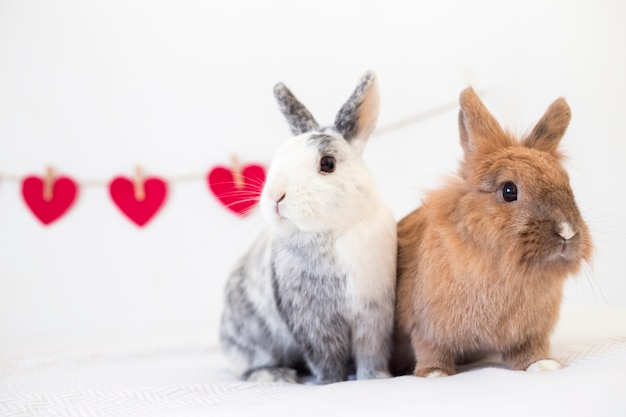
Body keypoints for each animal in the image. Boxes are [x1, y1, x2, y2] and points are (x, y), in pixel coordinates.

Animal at [219, 71, 394, 384]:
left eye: (328, 163)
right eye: (278, 158)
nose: (276, 197)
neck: (337, 232)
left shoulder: (374, 312)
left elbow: (370, 351)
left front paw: (376, 378)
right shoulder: (314, 321)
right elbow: (326, 357)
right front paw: (331, 383)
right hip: (251, 342)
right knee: (248, 368)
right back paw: (277, 375)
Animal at [392, 86, 592, 376]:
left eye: (567, 184)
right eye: (509, 191)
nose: (566, 232)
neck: (506, 270)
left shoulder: (529, 334)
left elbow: (530, 350)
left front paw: (545, 366)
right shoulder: (426, 329)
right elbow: (431, 351)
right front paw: (434, 374)